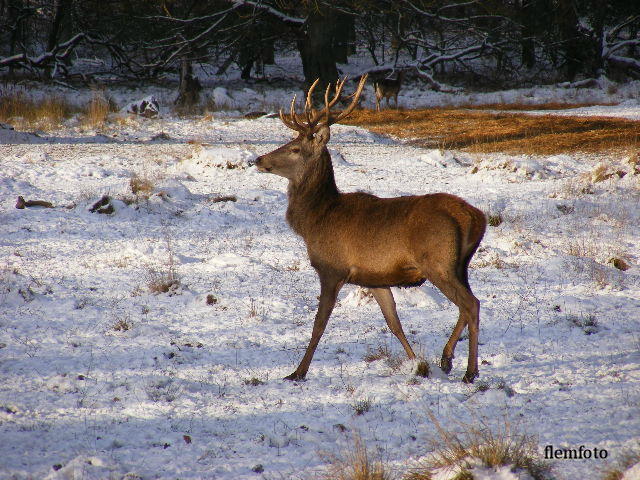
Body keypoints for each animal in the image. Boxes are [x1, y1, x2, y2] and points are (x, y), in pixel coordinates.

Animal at [255, 75, 484, 382]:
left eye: (294, 148)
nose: (258, 159)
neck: (314, 220)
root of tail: (475, 217)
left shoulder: (332, 268)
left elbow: (319, 323)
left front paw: (298, 372)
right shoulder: (373, 278)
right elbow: (394, 322)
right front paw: (416, 363)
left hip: (439, 262)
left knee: (471, 304)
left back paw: (470, 372)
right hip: (460, 266)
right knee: (466, 305)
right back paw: (446, 359)